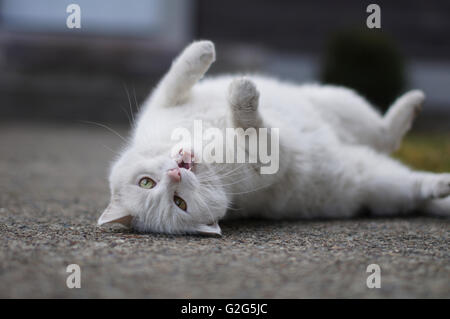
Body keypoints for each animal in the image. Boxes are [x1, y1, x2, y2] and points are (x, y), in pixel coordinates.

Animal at [97, 40, 450, 236]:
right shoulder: (271, 156)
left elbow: (176, 75)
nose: (174, 173)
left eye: (145, 182)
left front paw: (205, 51)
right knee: (405, 166)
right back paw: (441, 179)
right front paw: (243, 93)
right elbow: (250, 123)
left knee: (383, 133)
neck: (210, 154)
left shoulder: (163, 104)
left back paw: (413, 104)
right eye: (178, 202)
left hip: (339, 102)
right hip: (383, 184)